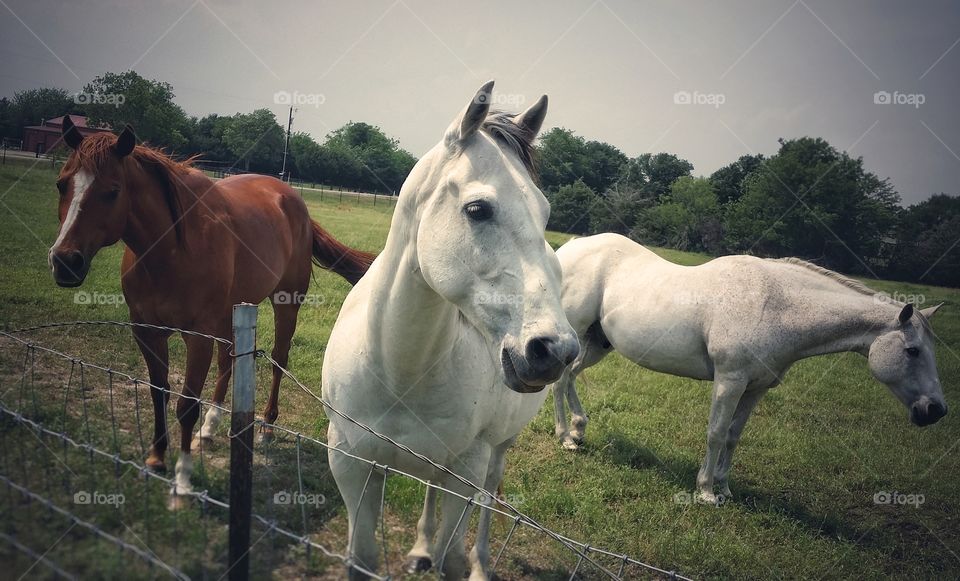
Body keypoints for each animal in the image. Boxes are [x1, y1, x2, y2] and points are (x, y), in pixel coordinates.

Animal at [49, 115, 376, 496]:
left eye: (113, 190)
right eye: (61, 184)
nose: (65, 261)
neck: (172, 248)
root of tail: (294, 201)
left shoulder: (197, 337)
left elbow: (186, 405)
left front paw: (182, 477)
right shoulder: (146, 331)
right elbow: (158, 392)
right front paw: (156, 457)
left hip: (286, 304)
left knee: (278, 360)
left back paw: (266, 425)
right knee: (229, 360)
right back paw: (211, 426)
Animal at [322, 82, 576, 580]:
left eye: (544, 212)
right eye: (477, 209)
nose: (554, 350)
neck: (398, 370)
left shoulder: (468, 468)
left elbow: (452, 555)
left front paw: (458, 561)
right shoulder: (350, 461)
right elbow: (362, 556)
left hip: (496, 452)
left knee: (488, 499)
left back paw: (481, 562)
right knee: (431, 491)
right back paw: (420, 547)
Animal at [552, 231, 948, 502]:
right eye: (913, 350)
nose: (936, 410)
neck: (776, 304)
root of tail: (569, 249)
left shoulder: (756, 387)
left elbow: (732, 436)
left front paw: (725, 489)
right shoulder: (730, 380)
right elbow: (715, 432)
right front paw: (706, 492)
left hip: (596, 343)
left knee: (568, 378)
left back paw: (578, 430)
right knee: (559, 382)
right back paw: (566, 438)